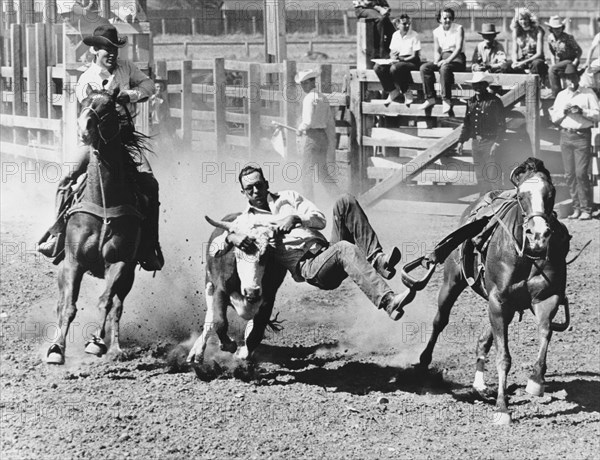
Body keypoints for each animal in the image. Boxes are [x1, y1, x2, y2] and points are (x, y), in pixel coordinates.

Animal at [45, 88, 147, 364]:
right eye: (84, 104)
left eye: (108, 108)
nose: (84, 129)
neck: (103, 201)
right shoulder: (73, 262)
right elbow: (68, 306)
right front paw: (57, 349)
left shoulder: (121, 263)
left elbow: (106, 303)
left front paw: (97, 343)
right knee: (60, 303)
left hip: (129, 276)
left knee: (118, 306)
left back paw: (115, 347)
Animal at [418, 158, 572, 424]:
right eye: (521, 195)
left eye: (551, 193)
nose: (538, 236)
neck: (526, 255)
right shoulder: (498, 301)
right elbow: (504, 357)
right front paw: (502, 409)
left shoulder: (546, 299)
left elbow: (545, 333)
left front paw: (535, 381)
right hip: (453, 282)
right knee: (440, 321)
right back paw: (423, 363)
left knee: (483, 340)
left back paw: (480, 385)